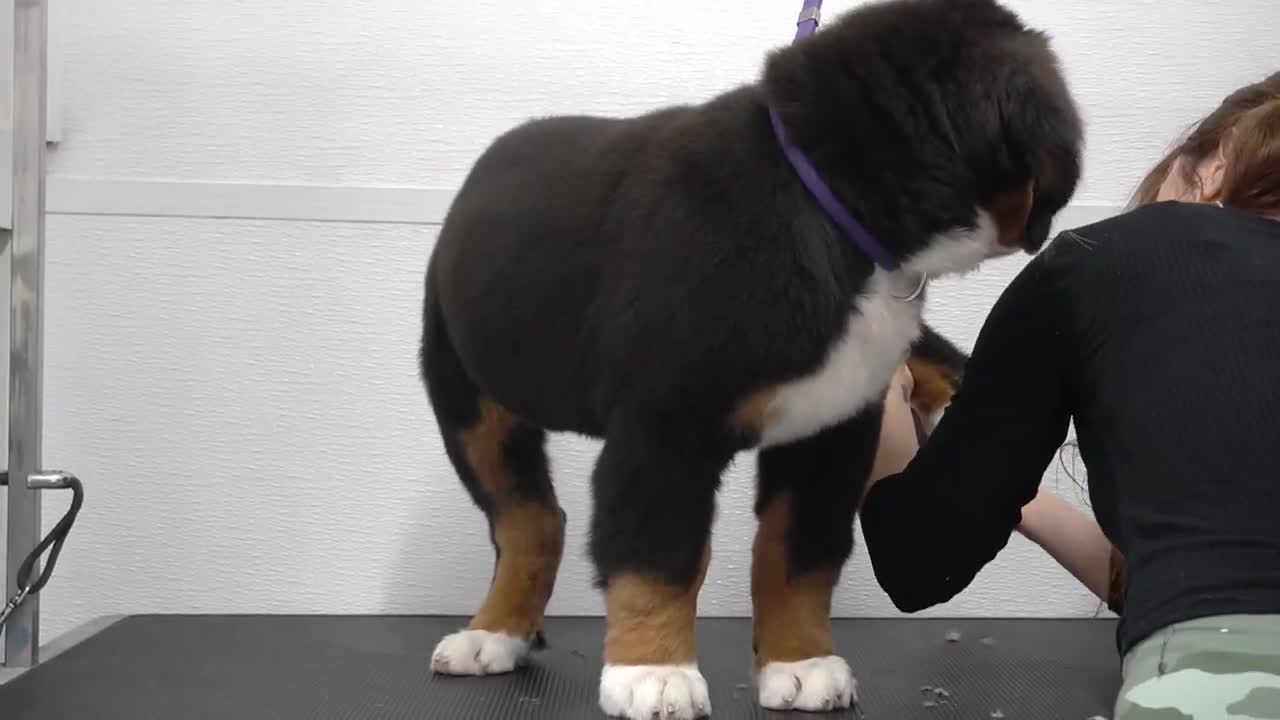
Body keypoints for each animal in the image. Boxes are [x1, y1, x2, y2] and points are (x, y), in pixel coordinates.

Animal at [419, 0, 1080, 712]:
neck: (824, 210)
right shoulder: (664, 432)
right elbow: (657, 557)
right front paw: (653, 673)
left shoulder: (828, 432)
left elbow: (796, 557)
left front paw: (800, 659)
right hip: (468, 398)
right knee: (530, 520)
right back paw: (493, 633)